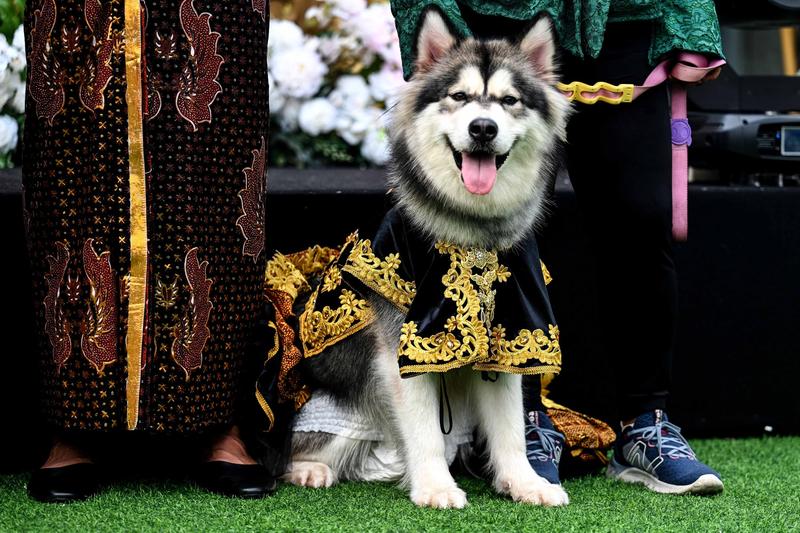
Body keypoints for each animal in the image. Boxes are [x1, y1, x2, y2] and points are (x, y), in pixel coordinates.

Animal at [284, 8, 572, 508]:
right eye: (459, 96)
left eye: (509, 101)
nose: (483, 128)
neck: (472, 234)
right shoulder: (406, 342)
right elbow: (424, 431)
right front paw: (436, 486)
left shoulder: (508, 335)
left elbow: (511, 429)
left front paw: (524, 482)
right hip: (337, 410)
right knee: (299, 448)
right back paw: (310, 469)